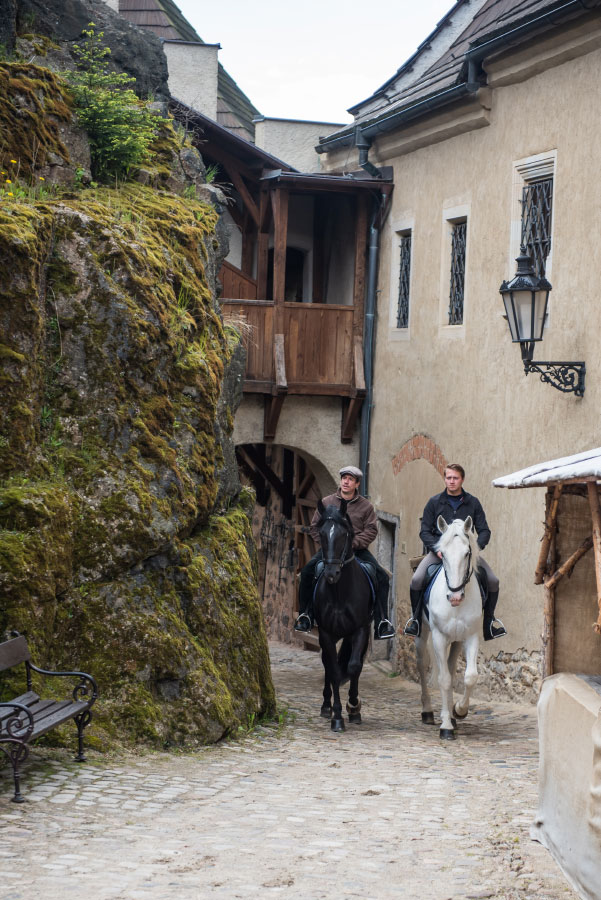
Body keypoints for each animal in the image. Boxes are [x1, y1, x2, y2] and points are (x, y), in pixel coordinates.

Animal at [312, 500, 372, 732]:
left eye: (343, 534)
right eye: (321, 533)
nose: (331, 574)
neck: (339, 593)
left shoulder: (361, 629)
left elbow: (354, 666)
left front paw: (354, 706)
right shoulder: (326, 633)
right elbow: (335, 672)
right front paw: (337, 716)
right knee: (328, 664)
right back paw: (326, 706)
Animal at [414, 516, 480, 740]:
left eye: (467, 553)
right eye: (443, 553)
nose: (455, 597)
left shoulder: (470, 636)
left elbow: (469, 677)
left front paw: (459, 711)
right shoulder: (439, 637)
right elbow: (443, 680)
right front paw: (445, 727)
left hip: (457, 641)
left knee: (451, 669)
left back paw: (452, 715)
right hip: (423, 634)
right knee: (423, 664)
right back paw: (427, 712)